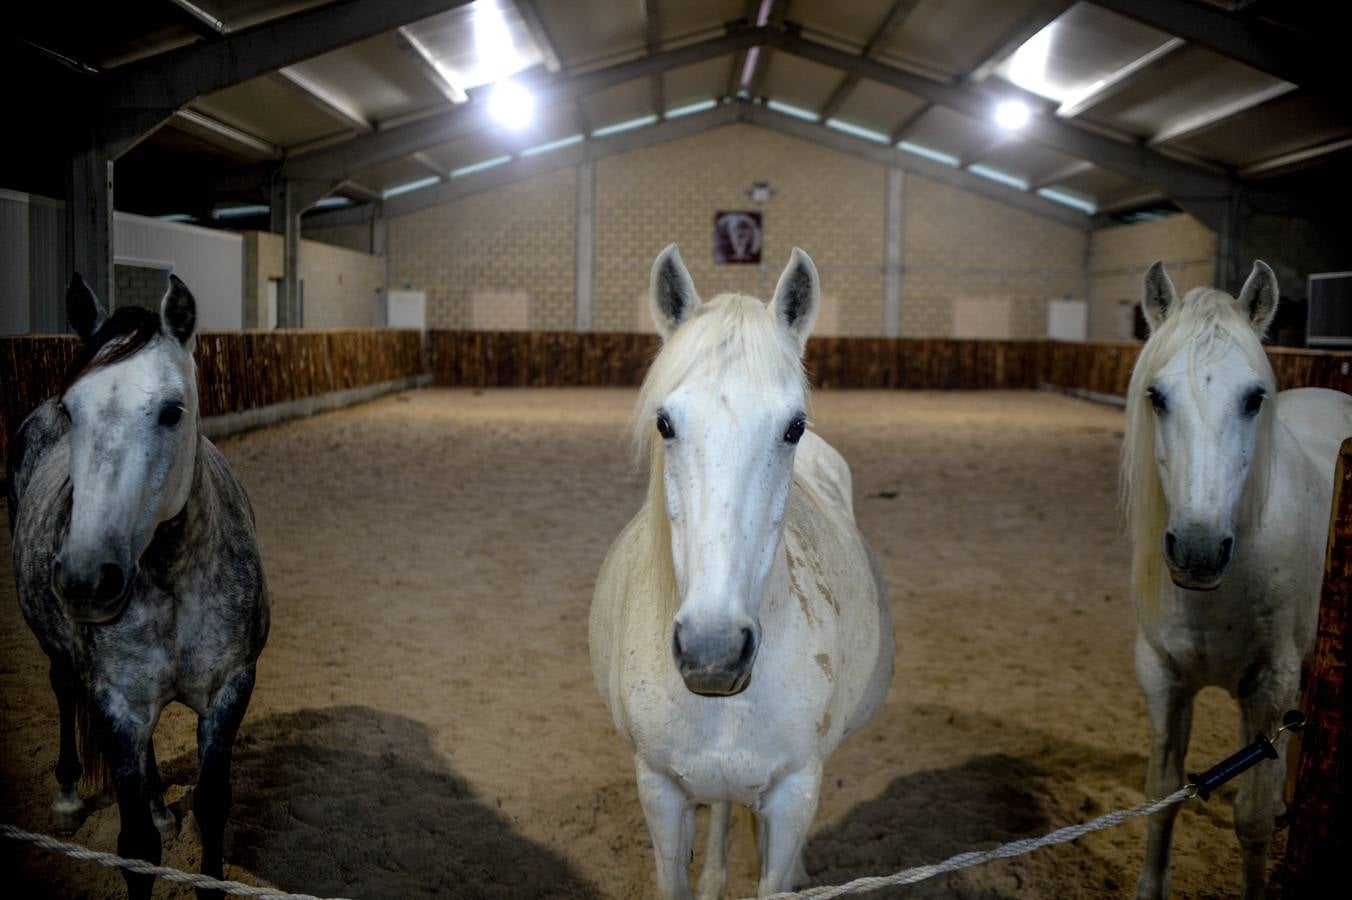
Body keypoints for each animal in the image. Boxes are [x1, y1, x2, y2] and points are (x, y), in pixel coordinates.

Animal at [7, 272, 269, 897]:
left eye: (173, 411)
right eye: (71, 410)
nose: (86, 578)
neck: (173, 578)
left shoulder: (230, 688)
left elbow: (211, 810)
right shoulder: (117, 704)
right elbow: (136, 849)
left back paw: (156, 804)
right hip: (63, 655)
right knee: (63, 688)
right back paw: (69, 796)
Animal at [1119, 259, 1352, 897]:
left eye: (1254, 398)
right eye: (1156, 396)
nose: (1198, 551)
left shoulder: (1270, 688)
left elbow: (1250, 820)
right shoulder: (1163, 677)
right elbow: (1163, 796)